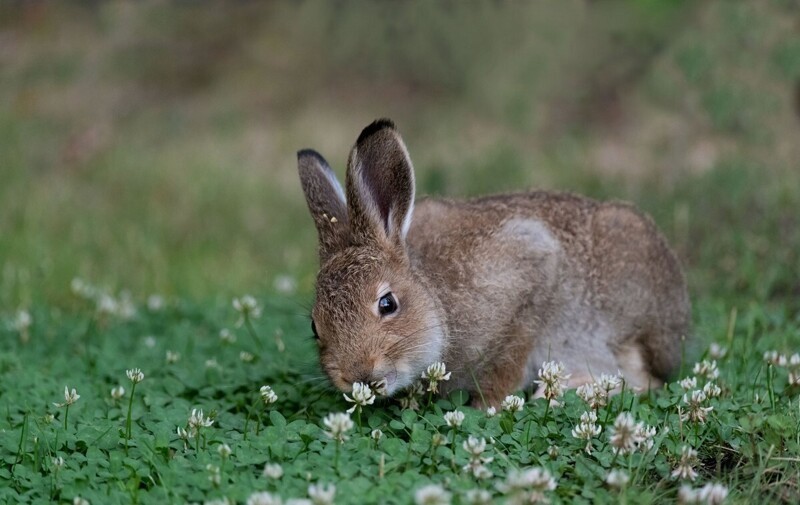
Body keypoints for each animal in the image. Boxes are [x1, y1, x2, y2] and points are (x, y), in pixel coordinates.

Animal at [296, 119, 692, 410]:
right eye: (315, 327)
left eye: (388, 304)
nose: (358, 375)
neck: (436, 299)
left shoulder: (531, 273)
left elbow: (507, 366)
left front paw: (488, 406)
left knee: (645, 381)